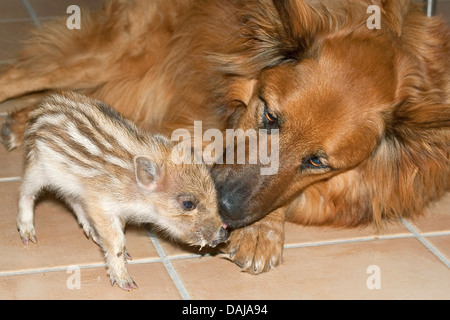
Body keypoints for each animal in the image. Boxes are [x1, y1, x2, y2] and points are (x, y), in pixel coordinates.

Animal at [0, 1, 450, 274]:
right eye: (270, 116)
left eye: (316, 161)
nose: (227, 211)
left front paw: (262, 230)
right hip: (120, 53)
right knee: (23, 74)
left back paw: (22, 121)